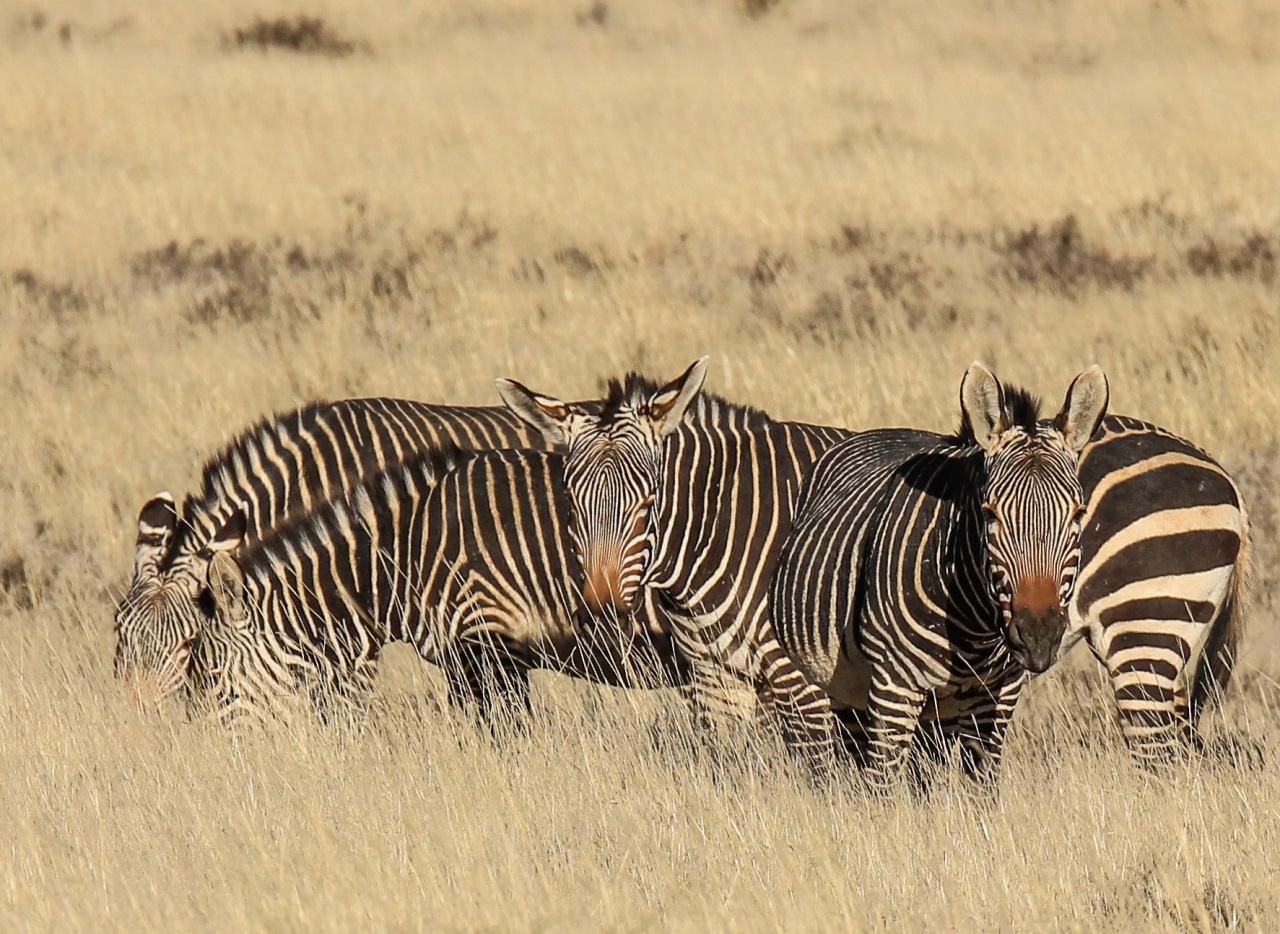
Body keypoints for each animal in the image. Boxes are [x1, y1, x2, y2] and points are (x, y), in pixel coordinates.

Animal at [496, 358, 855, 763]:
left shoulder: (803, 680)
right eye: (570, 503)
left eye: (649, 502)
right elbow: (728, 762)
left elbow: (815, 767)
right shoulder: (715, 677)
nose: (604, 619)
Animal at [767, 363, 1110, 784]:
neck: (976, 628)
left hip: (941, 709)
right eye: (989, 514)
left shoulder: (998, 694)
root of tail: (885, 430)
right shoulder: (894, 688)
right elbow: (883, 784)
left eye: (1078, 514)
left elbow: (980, 786)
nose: (1038, 636)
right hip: (837, 684)